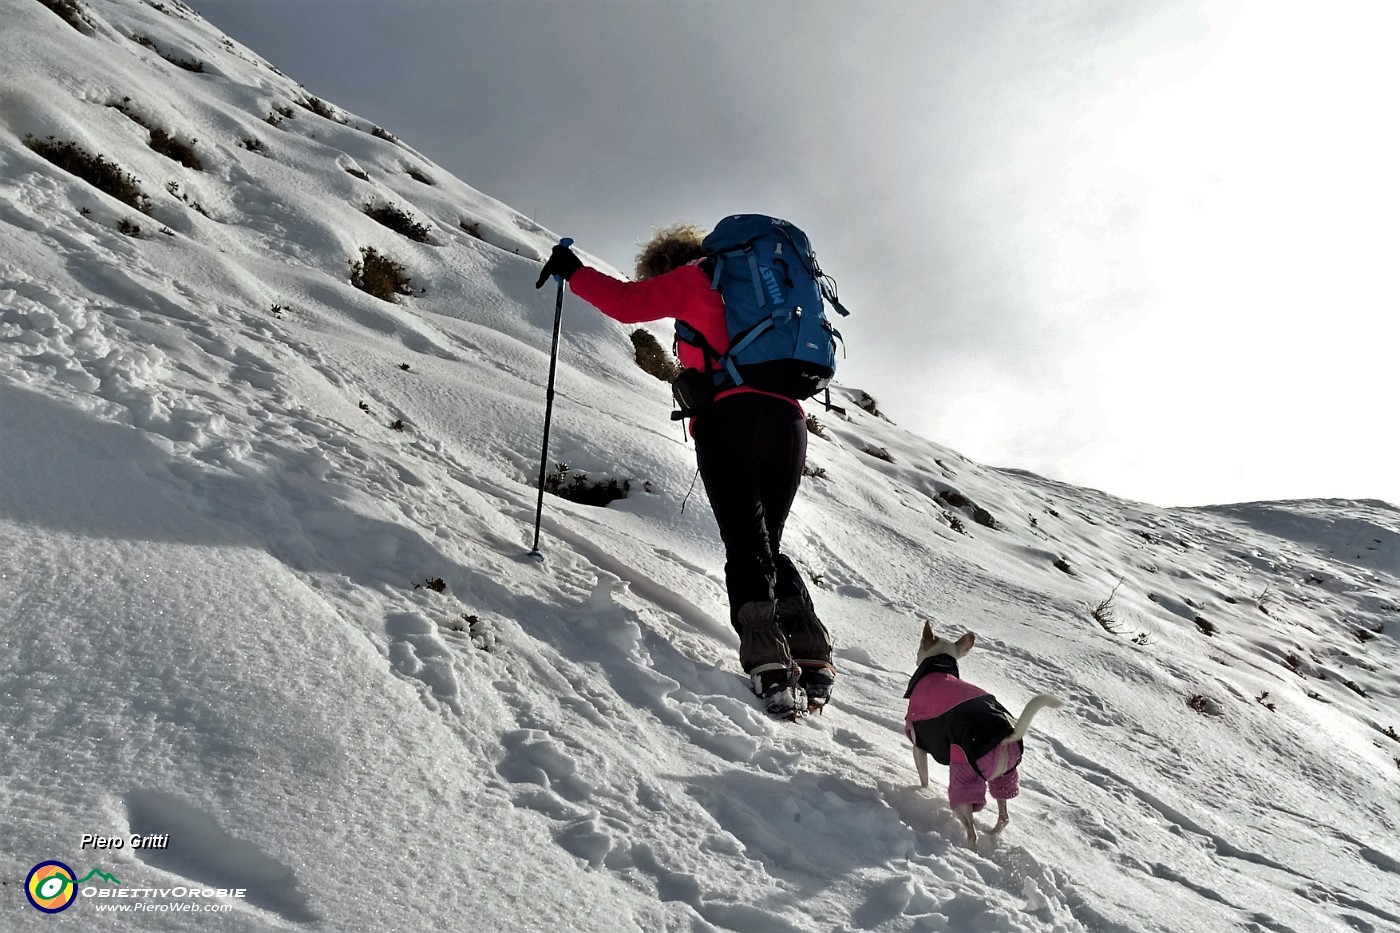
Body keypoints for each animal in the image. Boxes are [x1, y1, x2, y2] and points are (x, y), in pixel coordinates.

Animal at [901, 622, 1064, 846]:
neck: (939, 667)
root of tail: (1006, 735)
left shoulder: (919, 746)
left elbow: (923, 777)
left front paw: (922, 791)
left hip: (964, 774)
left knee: (972, 832)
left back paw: (967, 847)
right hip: (1005, 777)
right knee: (1004, 816)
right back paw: (992, 834)